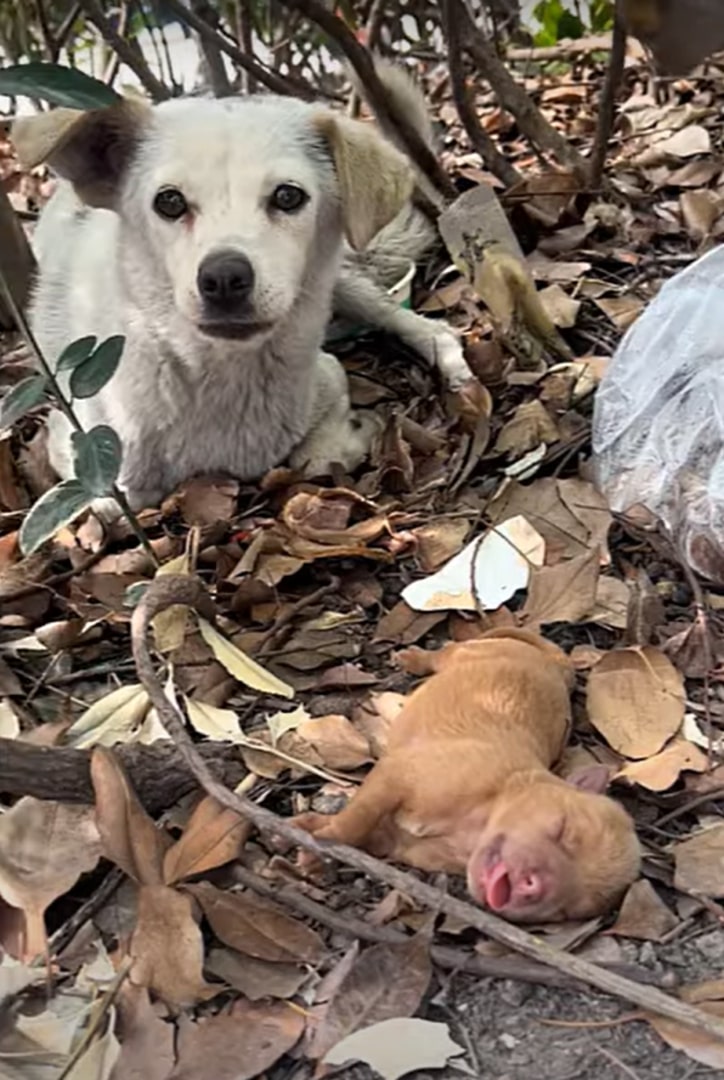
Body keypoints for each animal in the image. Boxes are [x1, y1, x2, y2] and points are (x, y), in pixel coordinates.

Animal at [15, 65, 471, 511]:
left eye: (288, 196)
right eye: (169, 201)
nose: (223, 279)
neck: (224, 381)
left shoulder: (327, 375)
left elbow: (318, 450)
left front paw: (347, 438)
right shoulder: (85, 450)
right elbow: (117, 500)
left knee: (414, 321)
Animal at [293, 630, 639, 924]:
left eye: (568, 911)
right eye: (563, 831)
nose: (532, 887)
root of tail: (557, 665)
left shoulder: (392, 839)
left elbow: (363, 831)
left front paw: (312, 834)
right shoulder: (398, 775)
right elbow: (356, 819)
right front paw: (324, 837)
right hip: (473, 652)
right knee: (446, 652)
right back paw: (413, 658)